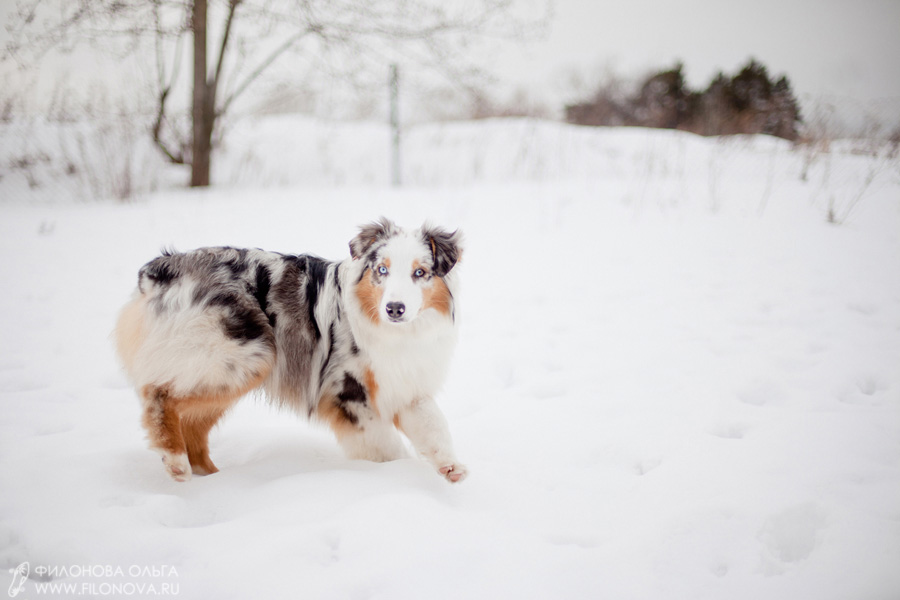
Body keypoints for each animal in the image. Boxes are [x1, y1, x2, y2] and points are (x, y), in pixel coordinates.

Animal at [116, 219, 468, 482]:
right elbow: (386, 446)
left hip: (232, 366)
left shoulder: (406, 385)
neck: (395, 332)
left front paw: (450, 467)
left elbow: (433, 425)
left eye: (419, 273)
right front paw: (393, 475)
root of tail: (162, 268)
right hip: (240, 353)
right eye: (382, 270)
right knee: (159, 394)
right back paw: (176, 461)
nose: (395, 308)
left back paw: (215, 480)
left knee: (192, 425)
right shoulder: (347, 392)